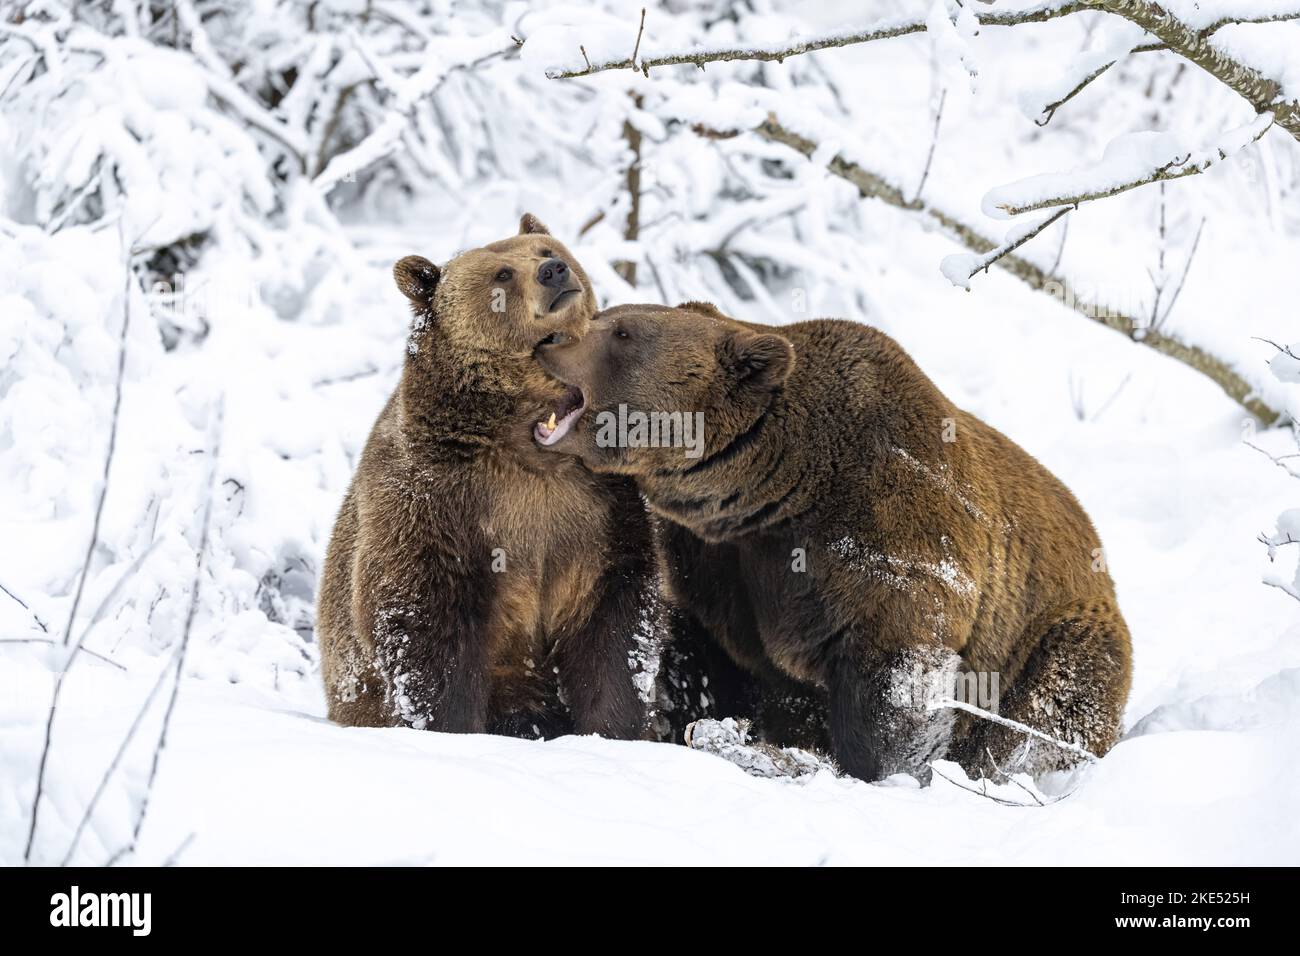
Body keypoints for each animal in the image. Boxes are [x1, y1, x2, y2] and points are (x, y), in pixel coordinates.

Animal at [316, 216, 660, 740]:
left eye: (546, 249)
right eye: (502, 274)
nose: (554, 271)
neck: (528, 438)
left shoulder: (598, 505)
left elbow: (615, 620)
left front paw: (613, 727)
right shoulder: (439, 496)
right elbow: (423, 615)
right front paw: (451, 724)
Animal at [531, 301, 1133, 782]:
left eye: (622, 332)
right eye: (608, 317)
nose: (549, 339)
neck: (783, 489)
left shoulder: (889, 541)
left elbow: (894, 680)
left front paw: (871, 767)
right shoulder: (726, 572)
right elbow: (716, 654)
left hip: (1056, 637)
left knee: (1041, 717)